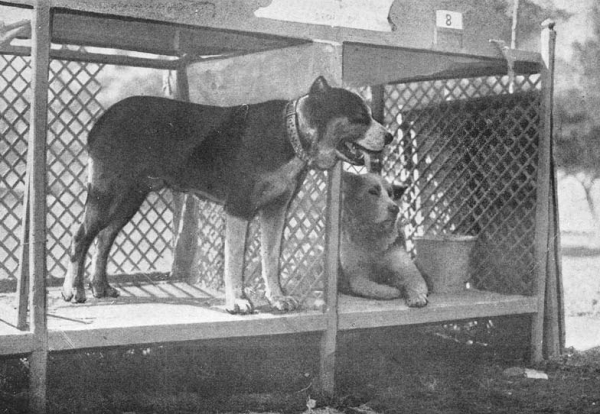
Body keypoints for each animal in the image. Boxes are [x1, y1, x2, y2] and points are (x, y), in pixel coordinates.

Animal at [64, 77, 394, 314]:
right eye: (359, 117)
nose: (389, 136)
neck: (289, 134)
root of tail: (103, 119)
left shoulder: (275, 212)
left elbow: (270, 258)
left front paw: (278, 298)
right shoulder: (239, 209)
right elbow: (234, 260)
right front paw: (237, 301)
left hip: (130, 197)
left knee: (104, 237)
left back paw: (100, 287)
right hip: (105, 193)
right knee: (82, 236)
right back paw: (73, 290)